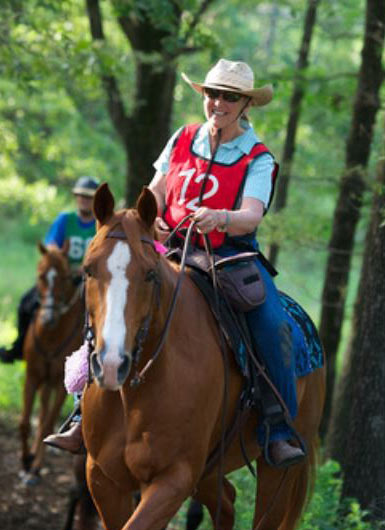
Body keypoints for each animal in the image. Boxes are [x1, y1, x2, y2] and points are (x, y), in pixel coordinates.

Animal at [19, 243, 83, 482]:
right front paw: (25, 461)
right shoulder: (32, 377)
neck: (51, 336)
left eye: (65, 277)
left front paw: (36, 466)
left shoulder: (60, 385)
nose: (48, 319)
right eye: (40, 275)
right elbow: (25, 422)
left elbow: (48, 421)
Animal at [82, 183, 326, 528]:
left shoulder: (174, 478)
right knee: (227, 500)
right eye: (88, 270)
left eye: (150, 274)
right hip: (211, 469)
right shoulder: (103, 478)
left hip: (277, 472)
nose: (112, 364)